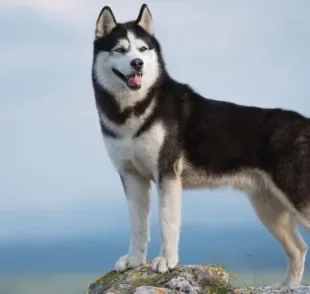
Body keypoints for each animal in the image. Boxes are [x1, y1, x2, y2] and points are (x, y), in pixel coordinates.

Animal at [91, 4, 310, 290]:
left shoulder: (167, 173)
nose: (137, 63)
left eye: (142, 49)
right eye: (120, 49)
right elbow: (138, 225)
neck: (133, 109)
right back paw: (287, 287)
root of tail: (305, 122)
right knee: (298, 248)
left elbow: (166, 221)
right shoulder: (131, 176)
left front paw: (167, 261)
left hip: (294, 196)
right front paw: (135, 260)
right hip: (269, 208)